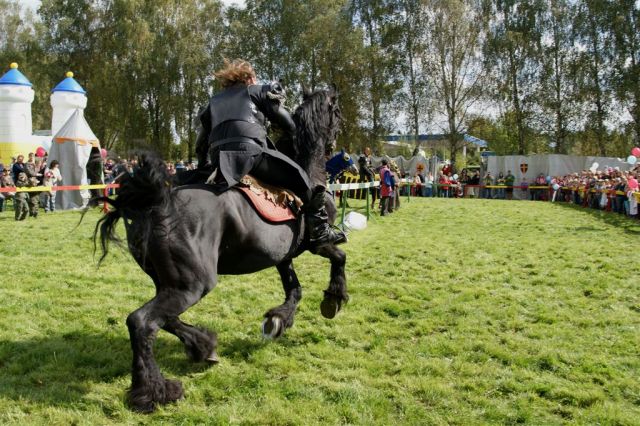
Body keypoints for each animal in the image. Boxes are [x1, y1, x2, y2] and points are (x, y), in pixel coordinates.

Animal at [96, 89, 350, 412]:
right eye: (337, 113)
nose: (335, 146)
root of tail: (155, 201)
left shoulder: (283, 256)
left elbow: (294, 289)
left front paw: (278, 321)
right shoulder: (316, 245)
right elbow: (339, 257)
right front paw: (333, 299)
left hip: (169, 280)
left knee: (165, 319)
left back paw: (203, 347)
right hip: (193, 283)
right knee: (142, 322)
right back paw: (155, 392)